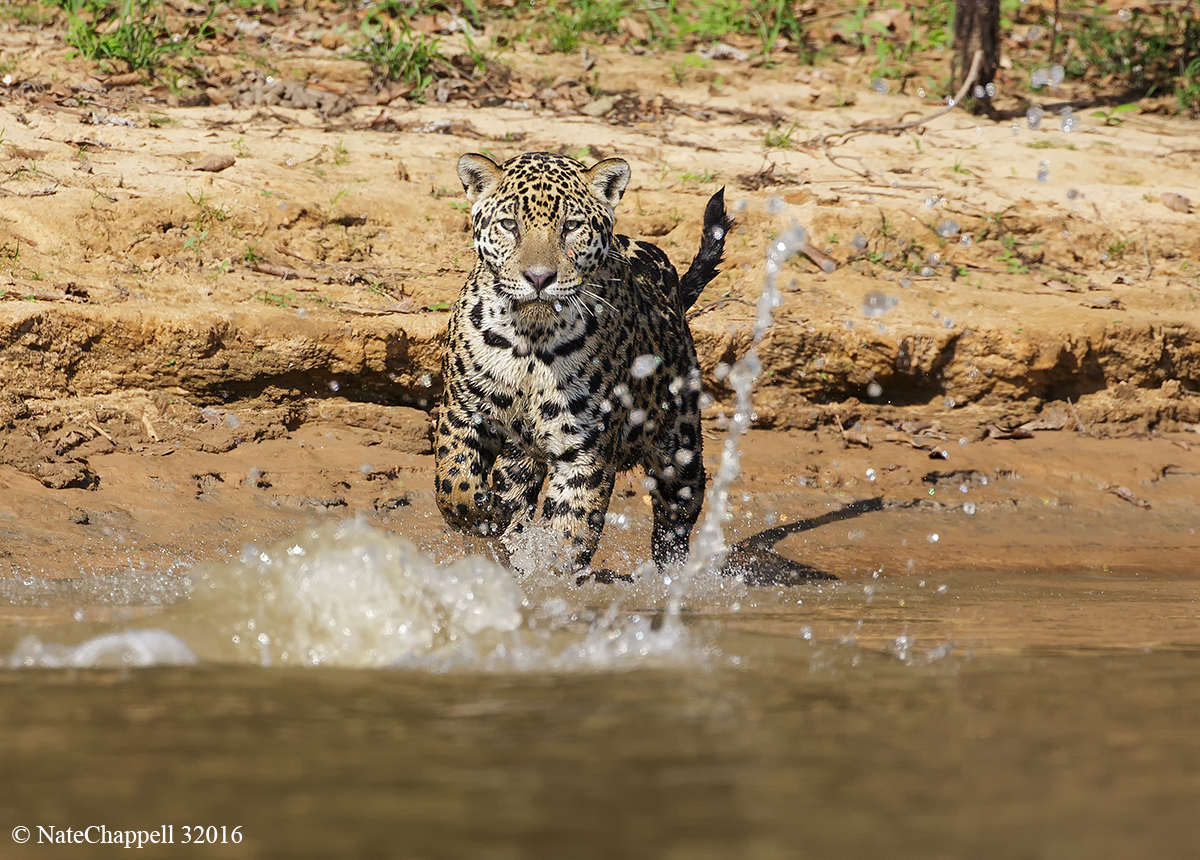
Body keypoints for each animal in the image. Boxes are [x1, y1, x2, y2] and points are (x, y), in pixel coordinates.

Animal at [434, 151, 732, 578]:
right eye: (509, 224)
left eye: (571, 226)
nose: (538, 278)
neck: (533, 335)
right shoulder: (463, 410)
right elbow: (453, 483)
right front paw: (488, 516)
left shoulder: (585, 446)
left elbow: (571, 528)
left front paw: (550, 577)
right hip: (518, 457)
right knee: (514, 486)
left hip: (681, 452)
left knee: (675, 522)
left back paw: (670, 578)